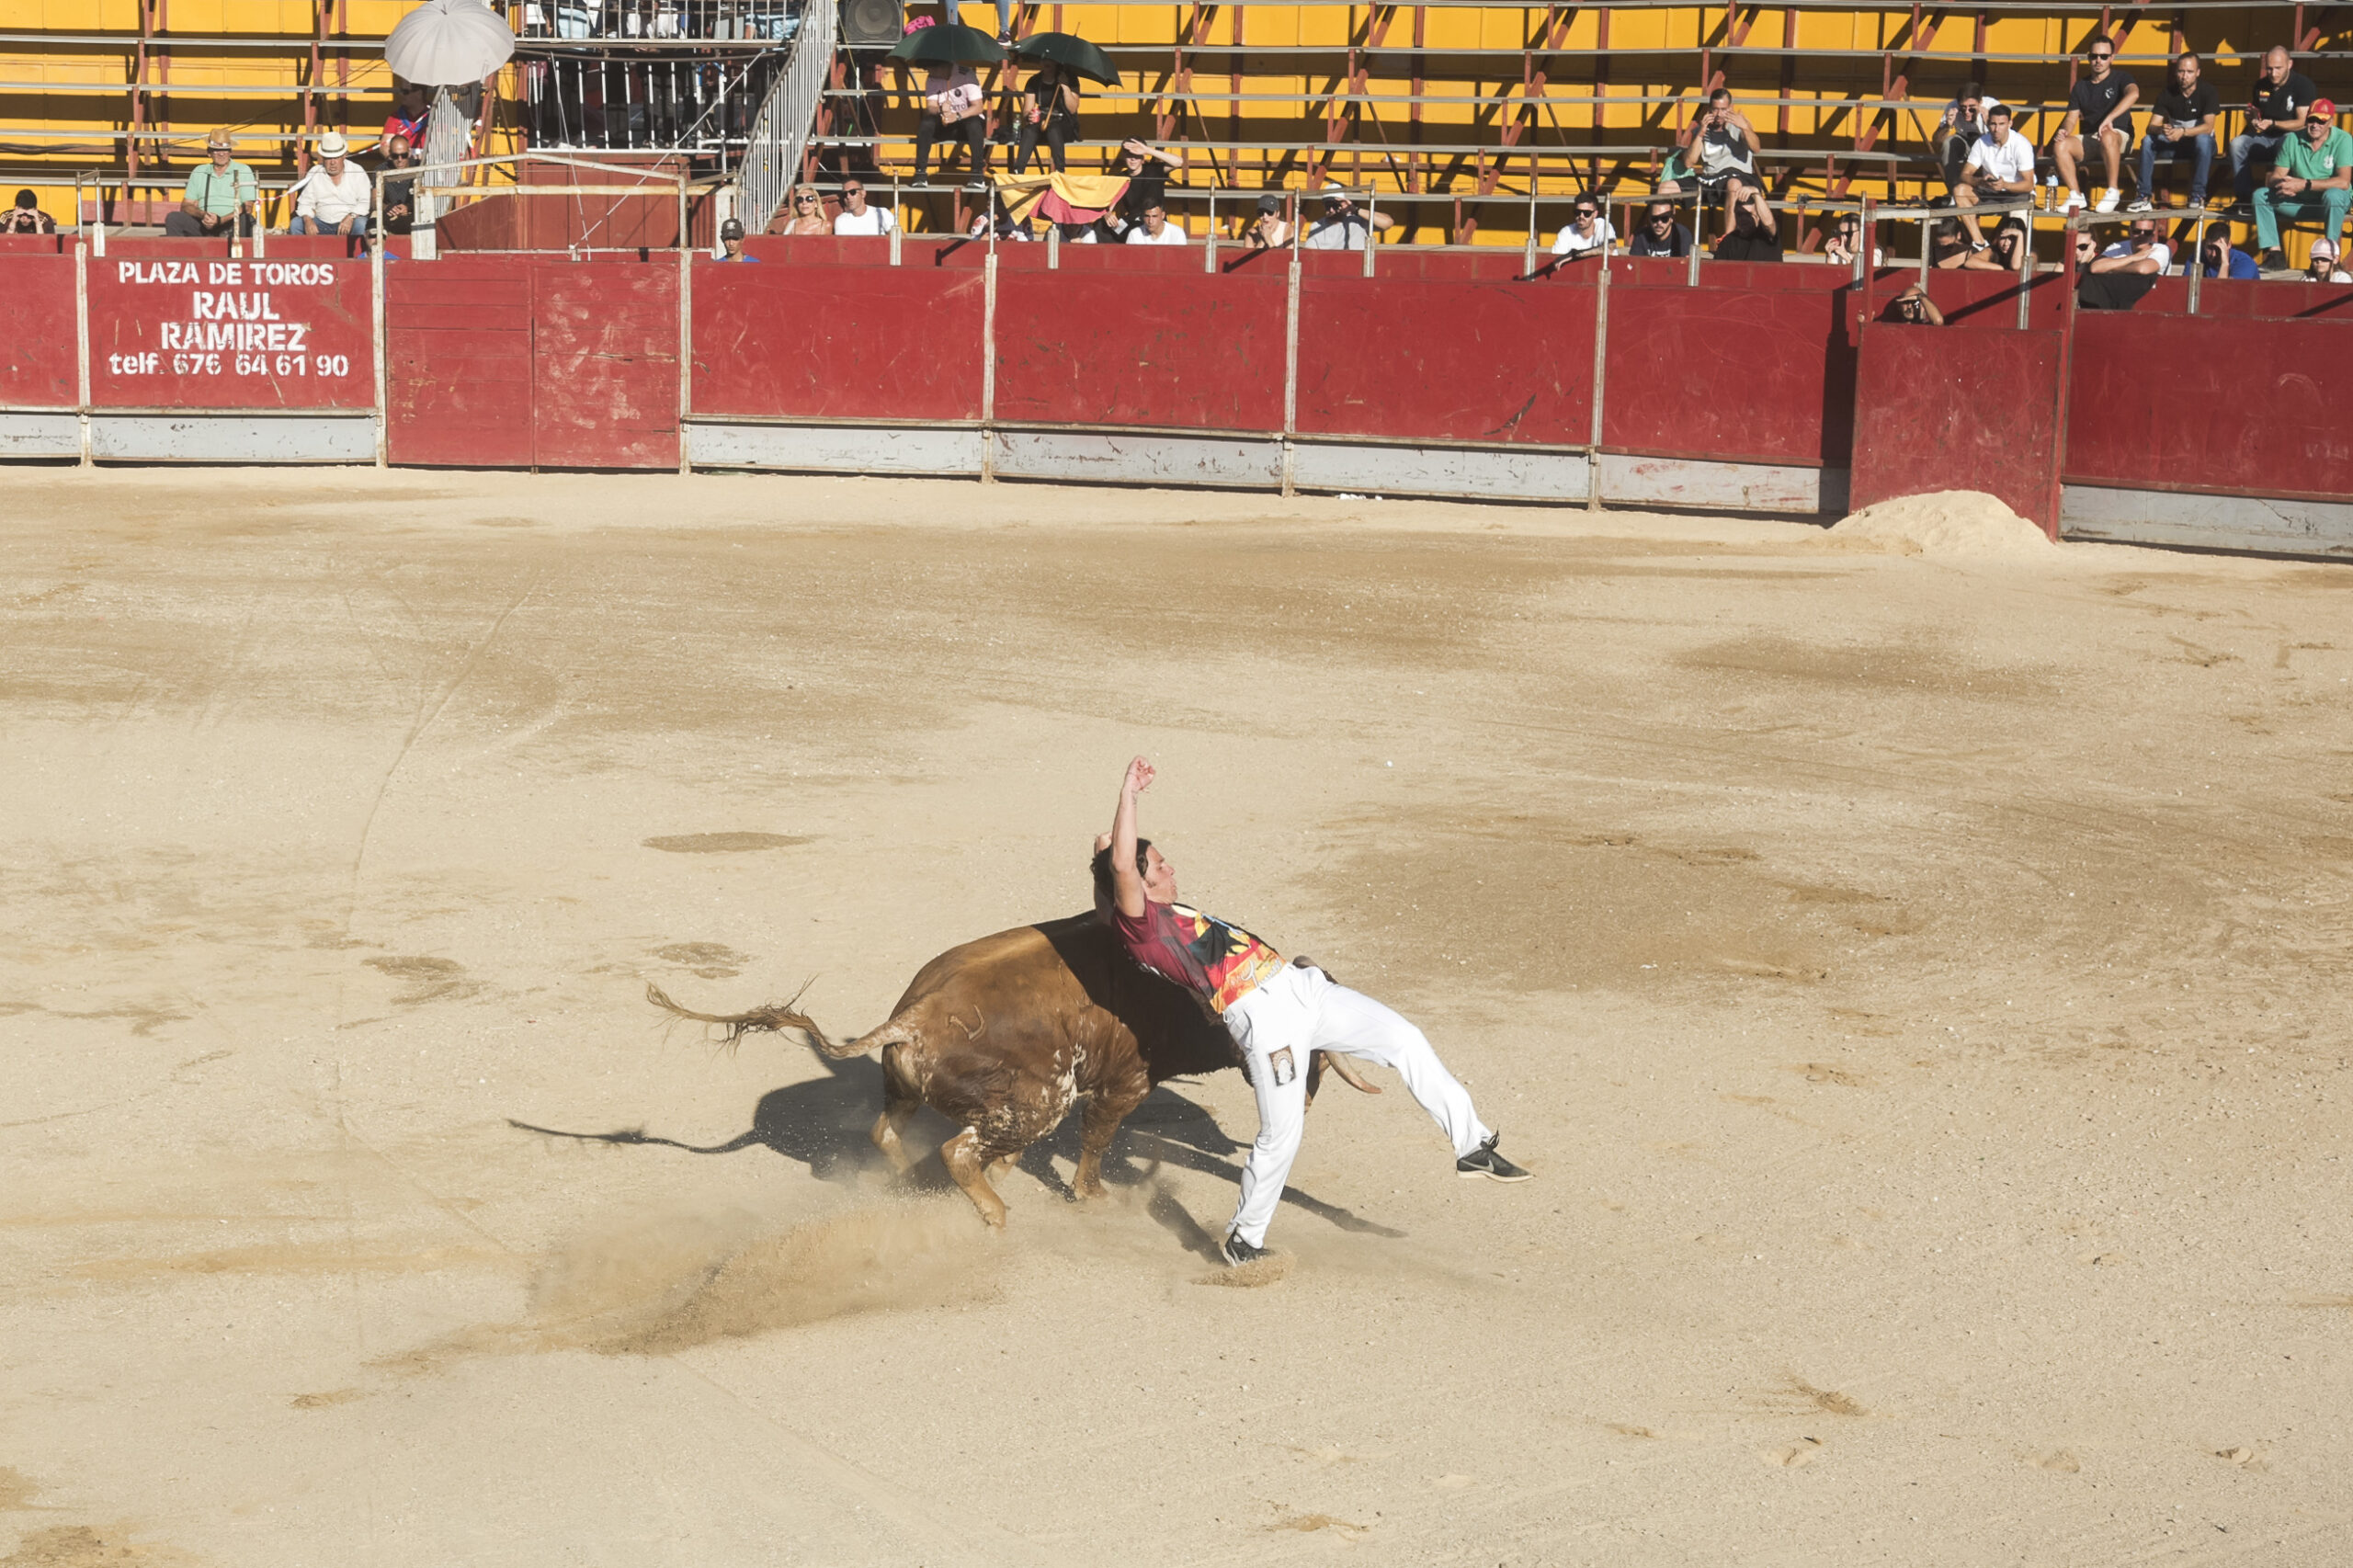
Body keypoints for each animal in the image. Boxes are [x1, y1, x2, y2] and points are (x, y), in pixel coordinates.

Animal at [649, 908, 1374, 1224]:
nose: (1305, 1099)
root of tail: (915, 1015)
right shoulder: (1121, 1085)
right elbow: (1096, 1141)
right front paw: (1092, 1196)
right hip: (1040, 1098)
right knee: (959, 1152)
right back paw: (994, 1213)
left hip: (915, 1088)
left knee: (890, 1132)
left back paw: (912, 1184)